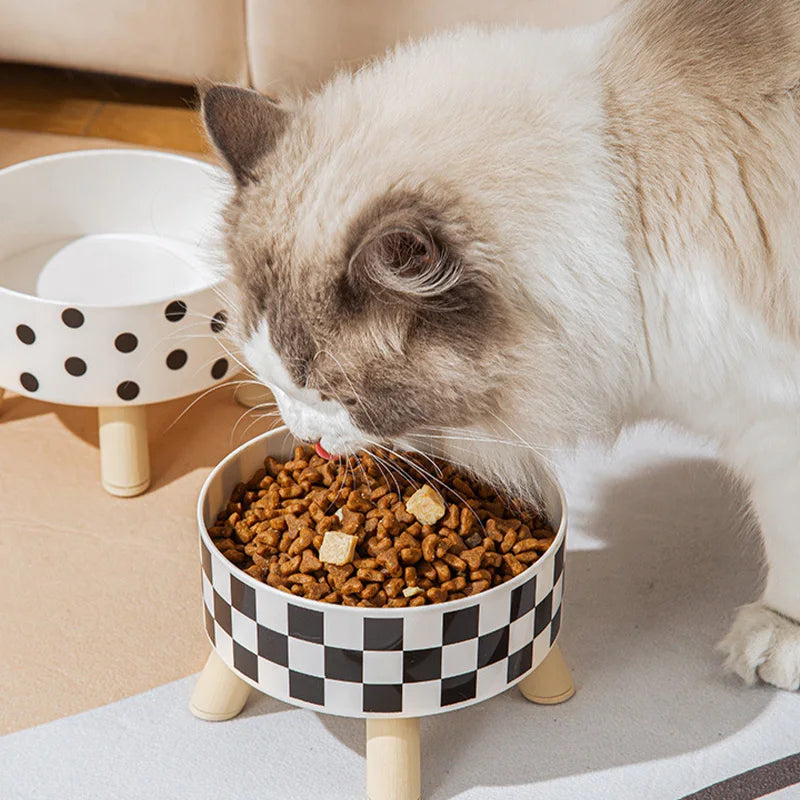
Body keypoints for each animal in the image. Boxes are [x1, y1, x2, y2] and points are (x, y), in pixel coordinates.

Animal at [200, 0, 800, 692]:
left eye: (334, 396)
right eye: (273, 381)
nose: (306, 436)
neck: (622, 203)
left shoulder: (773, 419)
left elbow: (787, 540)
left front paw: (777, 636)